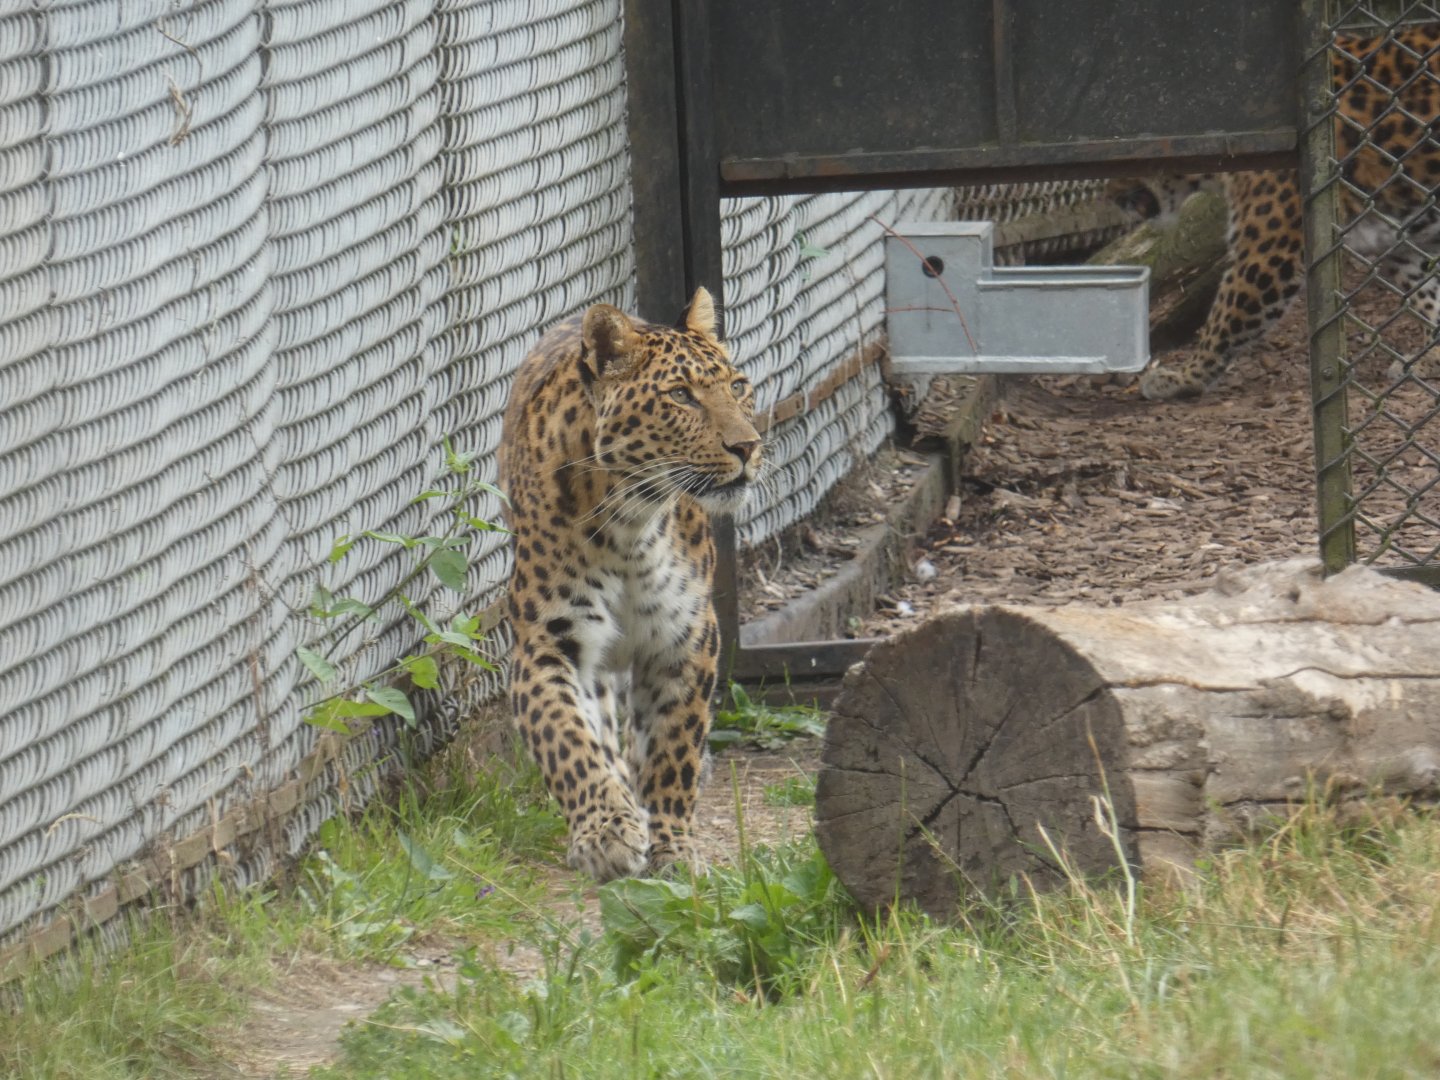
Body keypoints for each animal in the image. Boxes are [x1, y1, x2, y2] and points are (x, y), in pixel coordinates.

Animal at [497, 287, 762, 882]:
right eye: (682, 396)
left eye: (738, 386)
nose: (749, 447)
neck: (631, 525)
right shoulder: (545, 643)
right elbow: (567, 739)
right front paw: (607, 832)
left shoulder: (687, 638)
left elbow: (672, 750)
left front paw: (671, 845)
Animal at [1114, 23, 1440, 401]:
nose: (1112, 198)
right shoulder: (1397, 237)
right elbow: (1426, 294)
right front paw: (1432, 356)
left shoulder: (1267, 250)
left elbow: (1222, 322)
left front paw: (1182, 378)